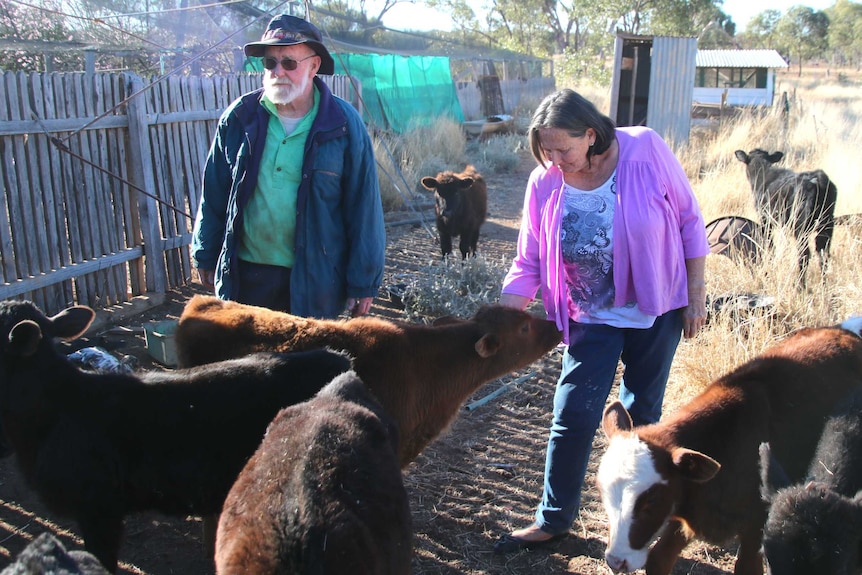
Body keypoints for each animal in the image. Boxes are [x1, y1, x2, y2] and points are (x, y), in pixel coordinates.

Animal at [596, 320, 862, 575]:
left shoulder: (758, 525)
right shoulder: (688, 511)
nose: (616, 561)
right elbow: (659, 560)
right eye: (602, 489)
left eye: (651, 501)